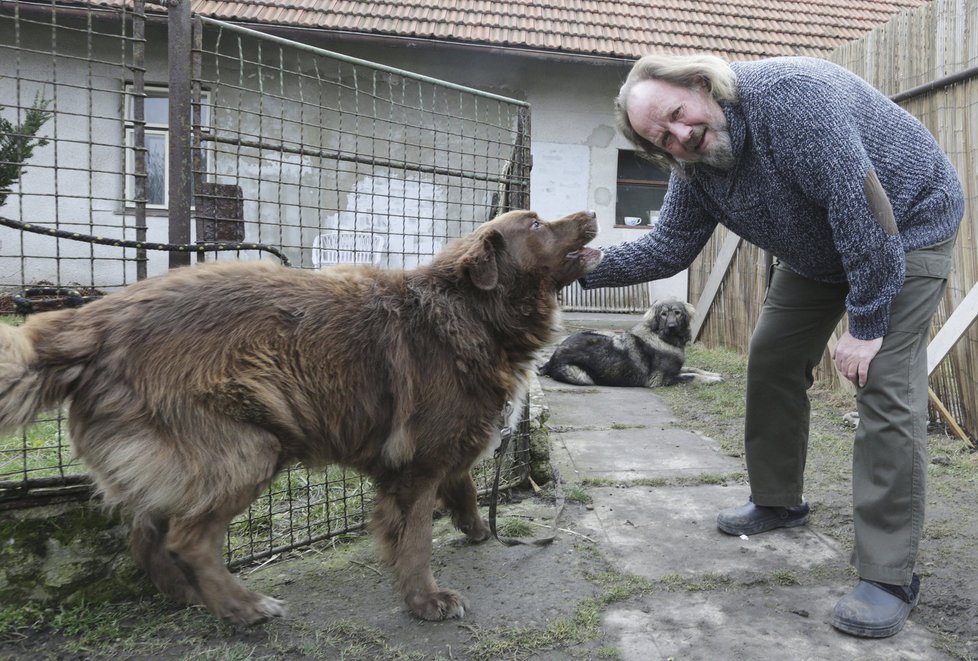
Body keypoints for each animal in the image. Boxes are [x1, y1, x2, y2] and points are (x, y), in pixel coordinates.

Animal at [0, 210, 600, 624]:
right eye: (538, 224)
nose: (593, 214)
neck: (473, 311)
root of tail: (95, 321)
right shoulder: (417, 467)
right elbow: (415, 540)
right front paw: (425, 599)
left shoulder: (445, 448)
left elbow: (467, 487)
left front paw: (477, 530)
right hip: (250, 448)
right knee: (186, 538)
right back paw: (242, 607)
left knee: (147, 536)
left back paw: (193, 597)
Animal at [536, 300, 720, 386]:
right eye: (663, 314)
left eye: (677, 313)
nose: (672, 326)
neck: (663, 339)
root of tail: (551, 359)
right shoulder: (660, 379)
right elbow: (690, 376)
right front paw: (711, 380)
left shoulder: (676, 369)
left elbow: (694, 369)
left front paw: (713, 374)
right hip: (582, 376)